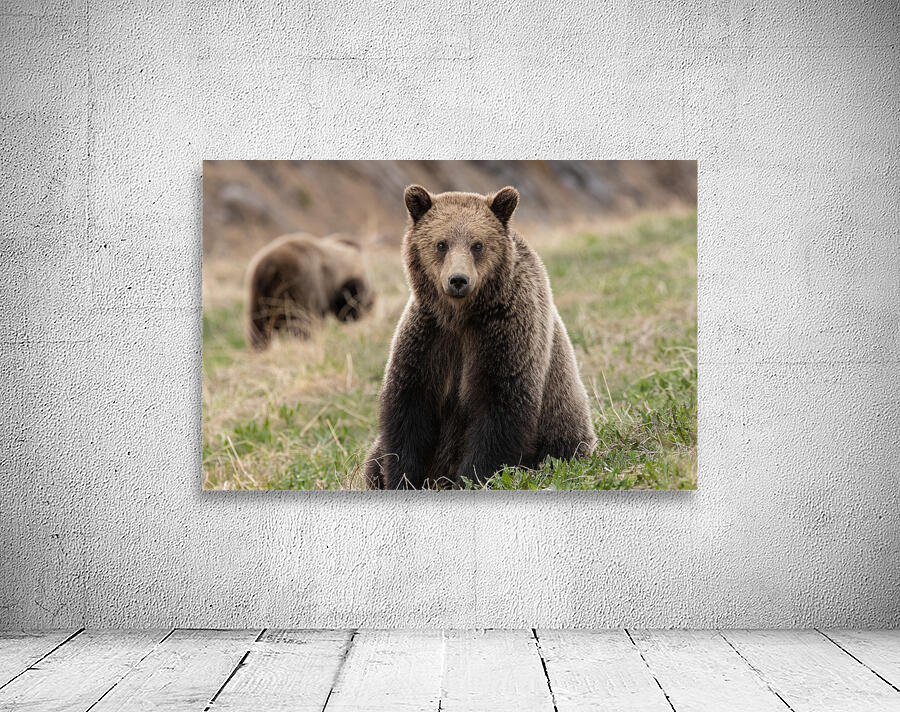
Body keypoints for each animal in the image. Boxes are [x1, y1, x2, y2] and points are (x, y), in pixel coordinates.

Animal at [364, 185, 596, 489]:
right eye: (441, 244)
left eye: (477, 244)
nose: (458, 280)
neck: (462, 317)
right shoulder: (428, 337)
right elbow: (409, 409)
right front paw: (401, 479)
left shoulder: (506, 335)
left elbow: (499, 410)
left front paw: (471, 478)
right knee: (373, 457)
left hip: (563, 432)